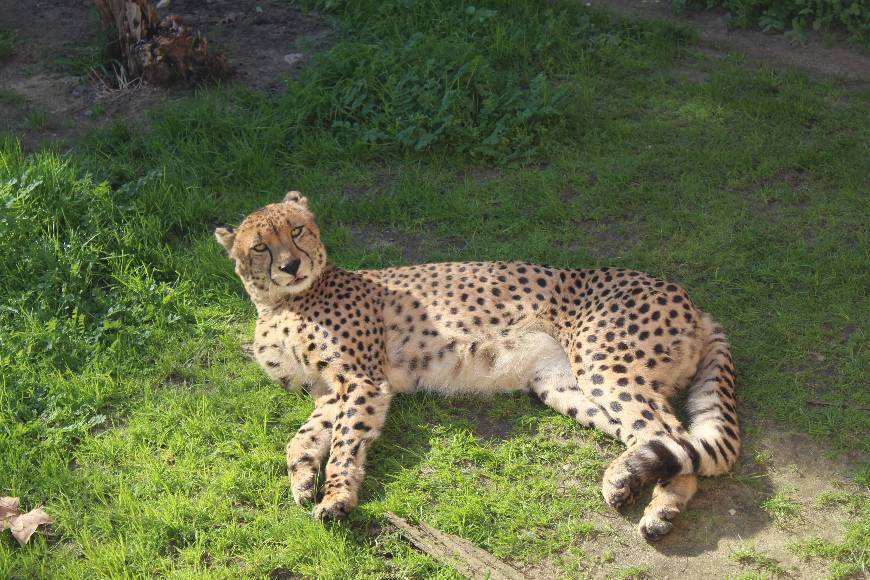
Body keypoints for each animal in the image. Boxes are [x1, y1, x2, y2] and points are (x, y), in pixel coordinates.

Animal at [215, 193, 740, 540]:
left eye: (298, 231)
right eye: (260, 246)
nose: (290, 266)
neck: (280, 303)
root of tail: (689, 299)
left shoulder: (363, 380)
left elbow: (345, 444)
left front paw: (336, 498)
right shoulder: (331, 390)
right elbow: (302, 436)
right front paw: (303, 477)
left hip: (606, 364)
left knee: (674, 433)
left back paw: (661, 509)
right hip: (563, 386)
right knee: (654, 438)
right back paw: (625, 478)